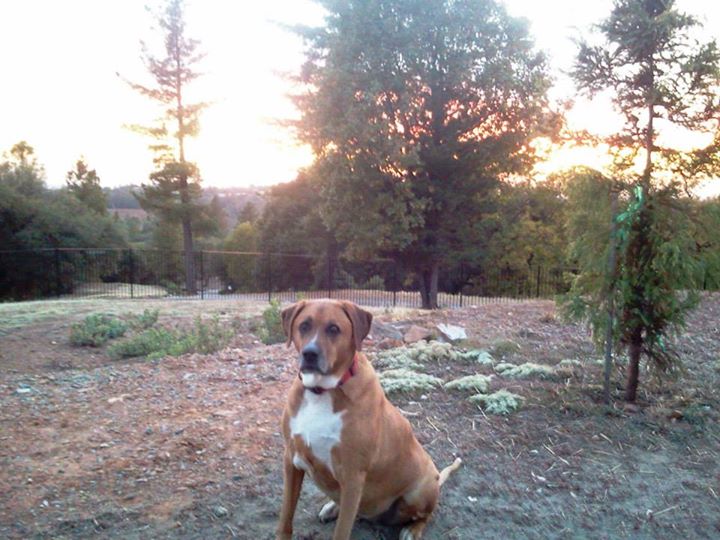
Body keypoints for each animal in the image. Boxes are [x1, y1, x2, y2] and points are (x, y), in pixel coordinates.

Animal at [276, 300, 462, 540]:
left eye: (334, 329)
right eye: (304, 326)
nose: (309, 353)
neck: (321, 391)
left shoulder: (352, 476)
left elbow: (342, 531)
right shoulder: (291, 461)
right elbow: (285, 517)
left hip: (419, 491)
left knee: (427, 515)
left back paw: (412, 530)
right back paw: (332, 507)